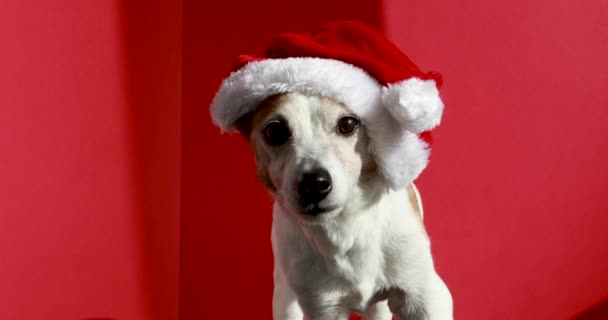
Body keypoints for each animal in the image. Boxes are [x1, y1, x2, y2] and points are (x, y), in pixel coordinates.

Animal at [235, 91, 454, 318]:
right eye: (275, 131)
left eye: (348, 124)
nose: (313, 184)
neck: (348, 227)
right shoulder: (324, 307)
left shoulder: (428, 297)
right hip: (285, 296)